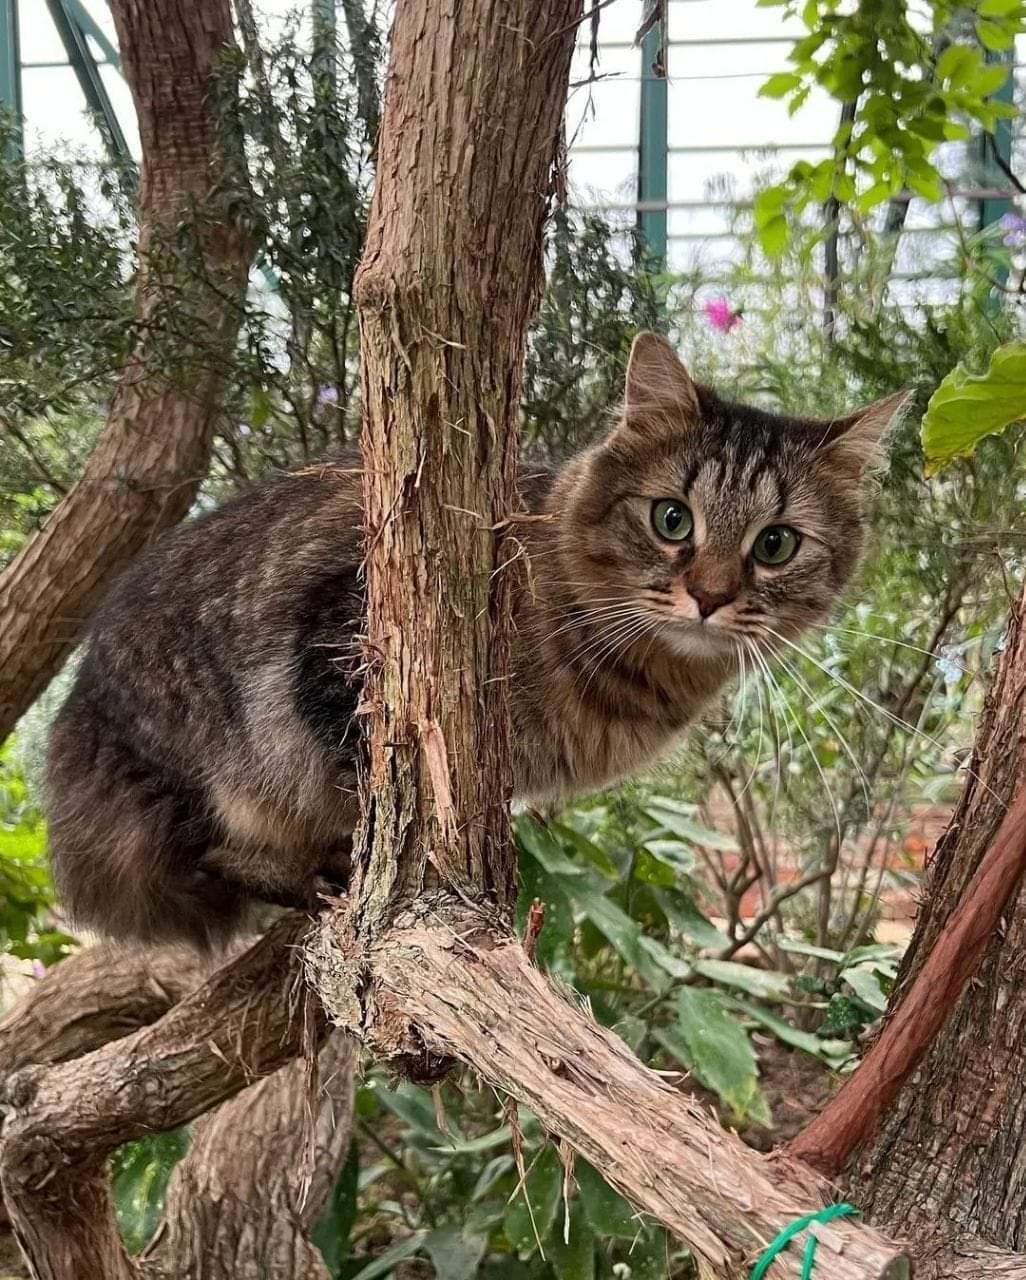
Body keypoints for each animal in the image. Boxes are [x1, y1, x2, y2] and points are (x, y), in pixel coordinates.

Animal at [44, 335, 900, 947]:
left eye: (776, 546)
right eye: (671, 520)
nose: (711, 597)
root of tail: (81, 705)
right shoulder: (340, 642)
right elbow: (377, 794)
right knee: (219, 853)